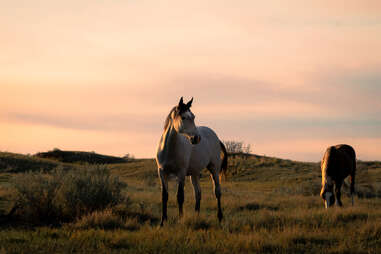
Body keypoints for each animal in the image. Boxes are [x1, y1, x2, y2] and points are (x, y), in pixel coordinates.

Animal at [154, 97, 226, 226]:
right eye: (183, 117)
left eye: (193, 116)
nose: (197, 138)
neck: (169, 149)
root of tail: (215, 136)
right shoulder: (162, 173)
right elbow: (164, 196)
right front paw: (162, 222)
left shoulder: (181, 173)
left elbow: (180, 196)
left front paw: (180, 219)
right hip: (194, 173)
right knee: (198, 194)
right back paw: (197, 216)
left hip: (214, 169)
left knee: (217, 192)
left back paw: (220, 217)